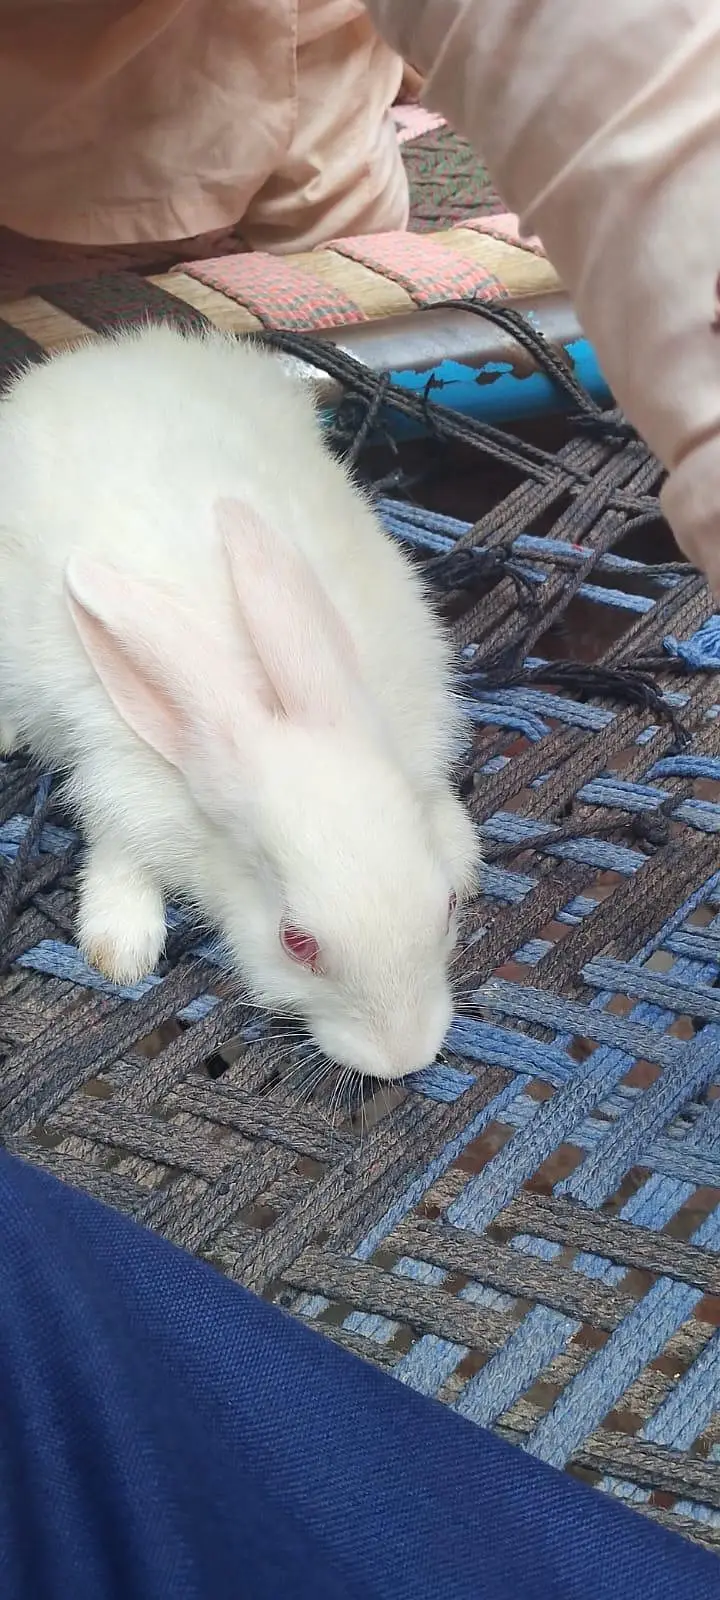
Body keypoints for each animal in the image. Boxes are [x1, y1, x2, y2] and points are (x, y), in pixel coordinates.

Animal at [0, 322, 480, 1080]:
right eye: (296, 942)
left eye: (447, 906)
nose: (404, 1059)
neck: (263, 702)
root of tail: (89, 361)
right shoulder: (115, 779)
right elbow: (116, 849)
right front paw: (121, 949)